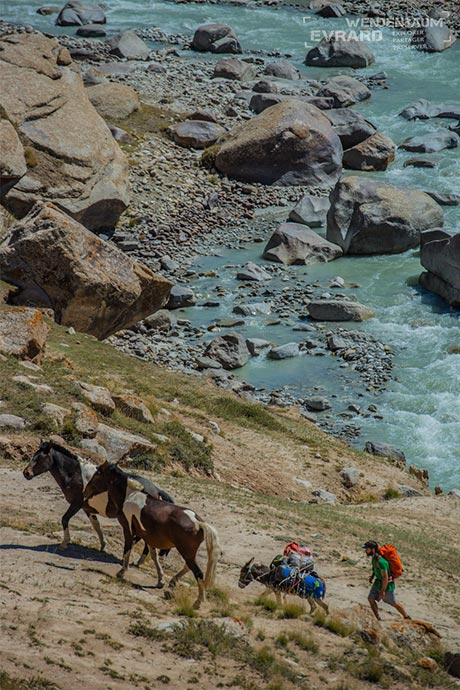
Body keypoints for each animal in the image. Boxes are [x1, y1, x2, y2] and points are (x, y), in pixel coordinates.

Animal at [23, 440, 174, 564]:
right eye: (34, 455)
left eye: (40, 457)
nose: (26, 473)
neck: (75, 474)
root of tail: (156, 490)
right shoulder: (87, 509)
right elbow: (96, 526)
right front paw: (103, 545)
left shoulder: (76, 504)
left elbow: (65, 519)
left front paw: (65, 543)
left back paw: (138, 562)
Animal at [84, 460, 221, 604]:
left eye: (98, 473)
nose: (85, 491)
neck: (130, 496)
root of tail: (198, 522)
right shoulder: (149, 537)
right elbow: (154, 556)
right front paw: (160, 580)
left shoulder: (128, 530)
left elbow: (127, 549)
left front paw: (122, 572)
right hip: (188, 552)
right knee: (188, 567)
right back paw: (172, 583)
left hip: (185, 550)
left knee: (198, 573)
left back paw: (198, 602)